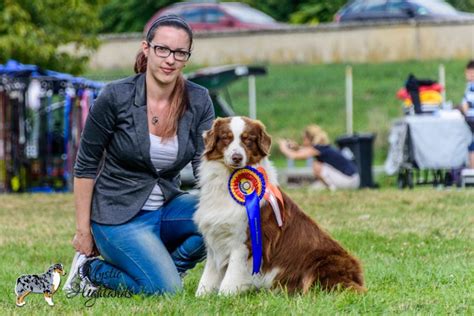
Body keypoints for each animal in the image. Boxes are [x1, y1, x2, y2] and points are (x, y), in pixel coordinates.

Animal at [194, 116, 364, 296]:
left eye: (248, 140)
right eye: (226, 138)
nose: (237, 157)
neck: (228, 181)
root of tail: (358, 276)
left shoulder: (244, 242)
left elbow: (231, 277)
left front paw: (224, 296)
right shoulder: (215, 238)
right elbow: (209, 275)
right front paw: (202, 296)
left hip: (321, 264)